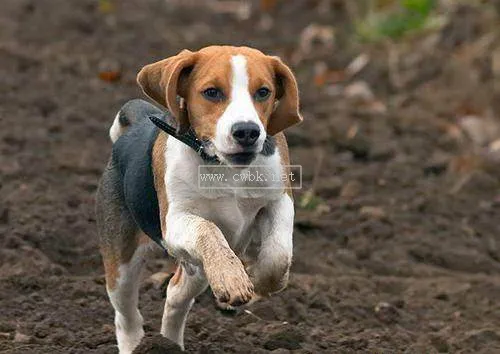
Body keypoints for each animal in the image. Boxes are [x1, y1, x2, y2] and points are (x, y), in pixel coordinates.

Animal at [96, 45, 300, 352]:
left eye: (263, 92)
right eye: (211, 92)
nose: (247, 131)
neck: (223, 167)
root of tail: (136, 124)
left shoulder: (279, 199)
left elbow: (278, 254)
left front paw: (260, 282)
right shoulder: (175, 222)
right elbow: (207, 227)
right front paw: (232, 278)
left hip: (198, 270)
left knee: (175, 293)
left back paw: (170, 342)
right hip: (121, 261)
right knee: (126, 315)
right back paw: (135, 343)